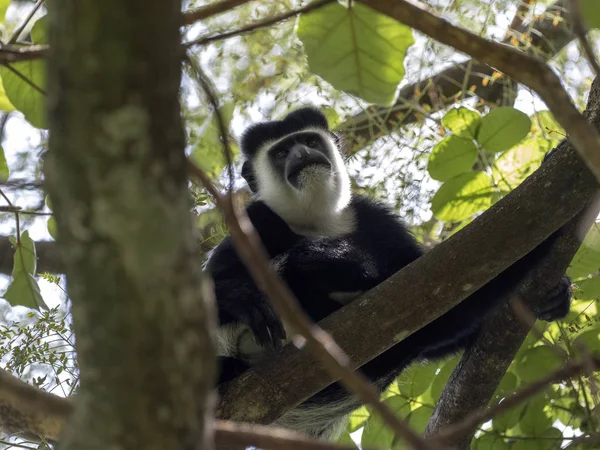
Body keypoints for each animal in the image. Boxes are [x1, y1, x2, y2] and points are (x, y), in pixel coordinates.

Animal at [206, 106, 572, 440]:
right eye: (282, 152)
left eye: (309, 141)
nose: (302, 154)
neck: (318, 221)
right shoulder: (253, 220)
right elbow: (212, 288)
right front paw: (248, 298)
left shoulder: (377, 221)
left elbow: (439, 301)